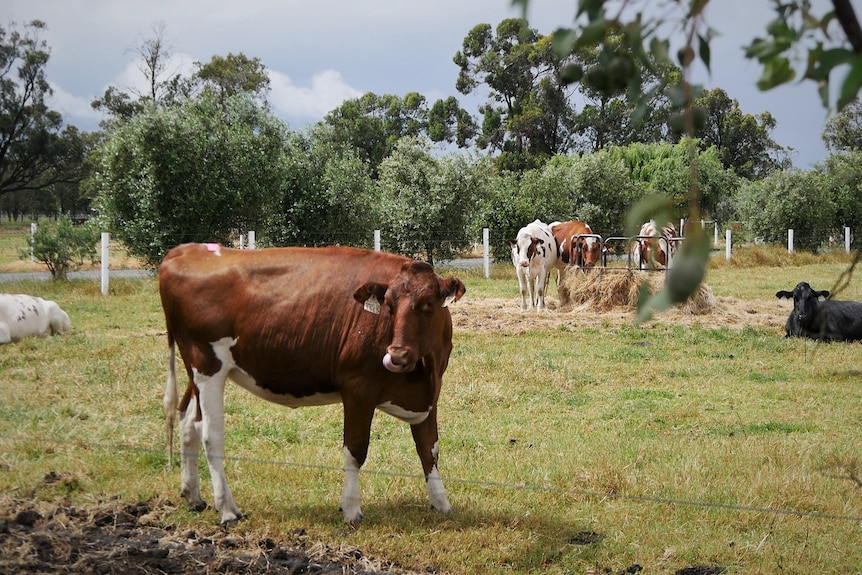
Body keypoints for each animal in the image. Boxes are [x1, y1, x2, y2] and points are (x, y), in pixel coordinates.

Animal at [160, 244, 466, 528]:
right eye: (389, 305)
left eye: (428, 303)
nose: (397, 354)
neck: (424, 372)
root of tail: (186, 249)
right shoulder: (358, 387)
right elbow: (356, 449)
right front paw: (351, 510)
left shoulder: (431, 394)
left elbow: (429, 448)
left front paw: (442, 503)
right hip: (207, 364)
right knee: (210, 434)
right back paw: (226, 509)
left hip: (197, 369)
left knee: (187, 419)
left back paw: (194, 497)